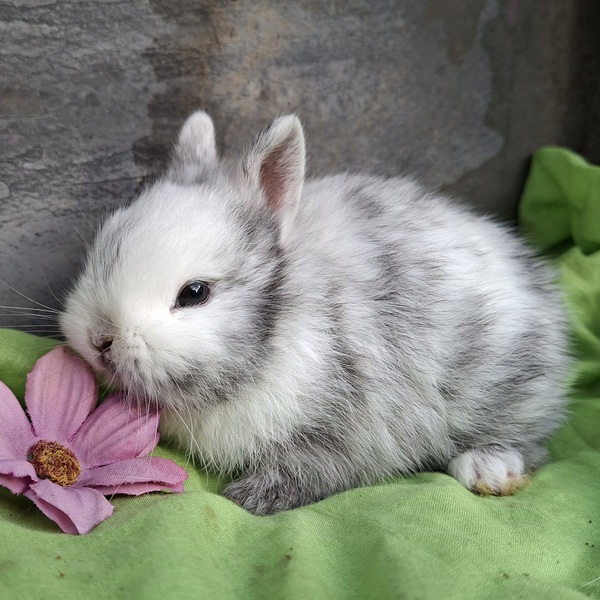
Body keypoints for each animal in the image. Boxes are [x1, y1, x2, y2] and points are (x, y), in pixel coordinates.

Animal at [60, 111, 570, 515]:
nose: (100, 340)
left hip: (507, 383)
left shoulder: (348, 426)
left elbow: (312, 470)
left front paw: (246, 500)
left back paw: (488, 468)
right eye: (103, 245)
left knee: (530, 438)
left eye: (195, 293)